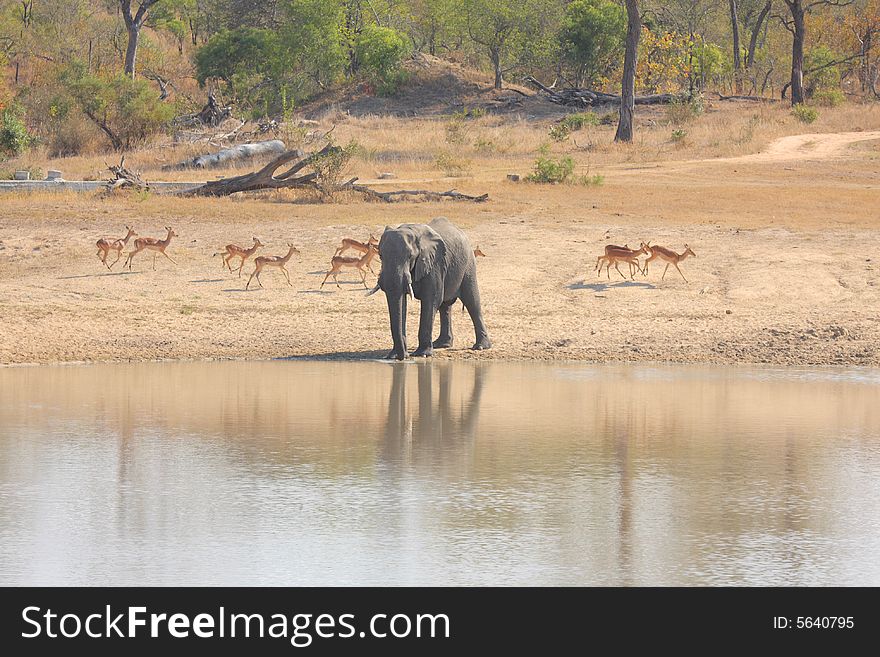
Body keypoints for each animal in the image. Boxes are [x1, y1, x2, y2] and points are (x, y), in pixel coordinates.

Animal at [368, 215, 492, 358]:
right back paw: (441, 344)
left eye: (410, 256)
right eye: (380, 255)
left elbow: (431, 300)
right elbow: (402, 303)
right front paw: (393, 356)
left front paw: (422, 354)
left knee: (472, 301)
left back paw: (481, 346)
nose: (404, 356)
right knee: (445, 306)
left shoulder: (434, 263)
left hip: (468, 264)